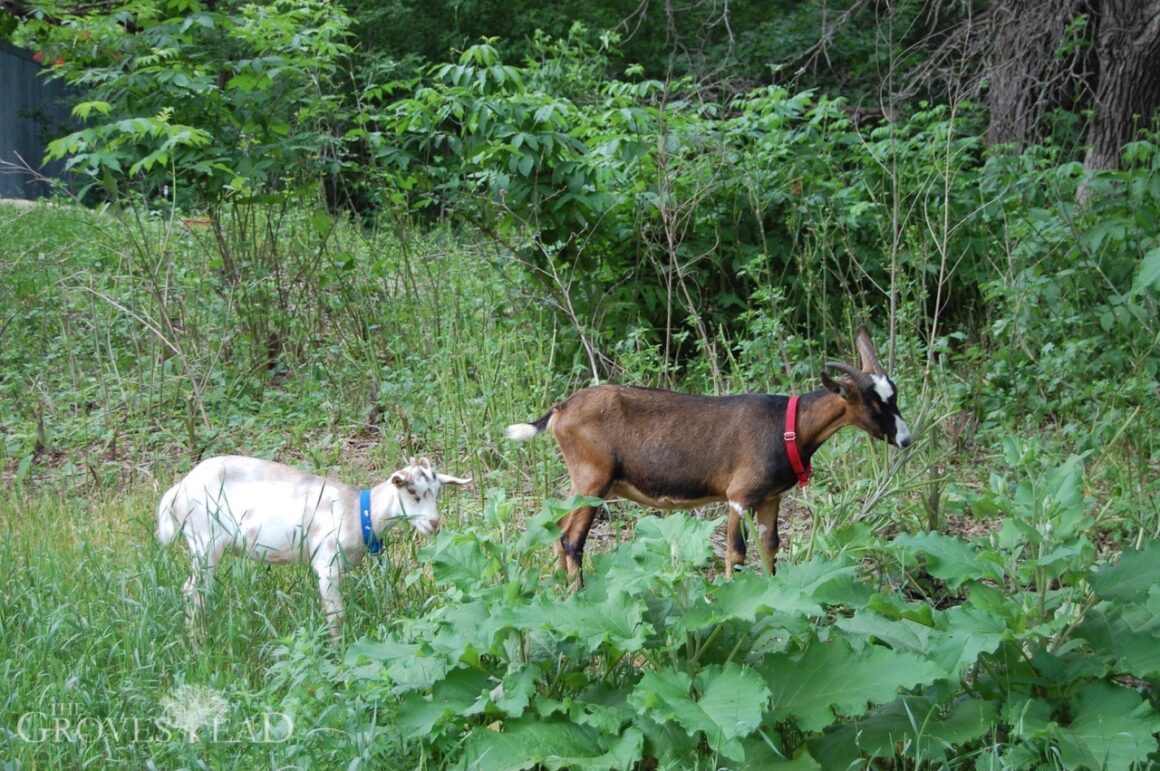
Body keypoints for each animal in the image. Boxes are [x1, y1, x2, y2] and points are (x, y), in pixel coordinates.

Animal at [156, 454, 468, 635]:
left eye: (438, 491)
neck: (357, 512)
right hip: (204, 541)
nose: (434, 523)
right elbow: (336, 615)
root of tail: (178, 490)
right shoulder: (326, 563)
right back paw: (197, 640)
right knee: (193, 590)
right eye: (412, 491)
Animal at [508, 324, 914, 584]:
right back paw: (579, 596)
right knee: (571, 540)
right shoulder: (740, 496)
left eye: (893, 394)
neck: (786, 426)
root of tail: (560, 410)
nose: (906, 439)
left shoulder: (771, 498)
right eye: (872, 402)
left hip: (581, 481)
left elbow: (771, 548)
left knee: (556, 529)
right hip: (594, 478)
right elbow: (736, 552)